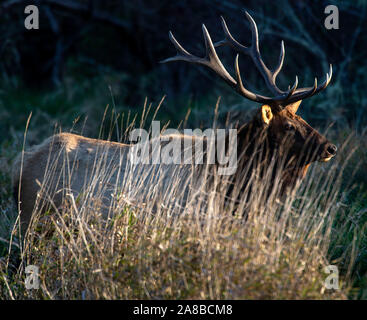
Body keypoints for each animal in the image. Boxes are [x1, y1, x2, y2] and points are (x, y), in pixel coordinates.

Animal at [12, 12, 338, 234]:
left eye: (303, 118)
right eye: (289, 126)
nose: (330, 148)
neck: (236, 184)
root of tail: (19, 164)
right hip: (32, 220)